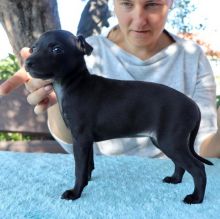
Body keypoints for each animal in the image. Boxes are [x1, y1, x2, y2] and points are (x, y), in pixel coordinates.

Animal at [24, 30, 212, 204]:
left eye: (56, 49)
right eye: (33, 48)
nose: (27, 62)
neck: (73, 84)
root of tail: (194, 105)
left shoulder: (80, 139)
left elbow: (79, 168)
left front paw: (75, 192)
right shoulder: (86, 140)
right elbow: (88, 164)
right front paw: (87, 181)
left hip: (170, 140)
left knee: (198, 168)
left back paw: (196, 198)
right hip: (164, 140)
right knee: (180, 164)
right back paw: (175, 180)